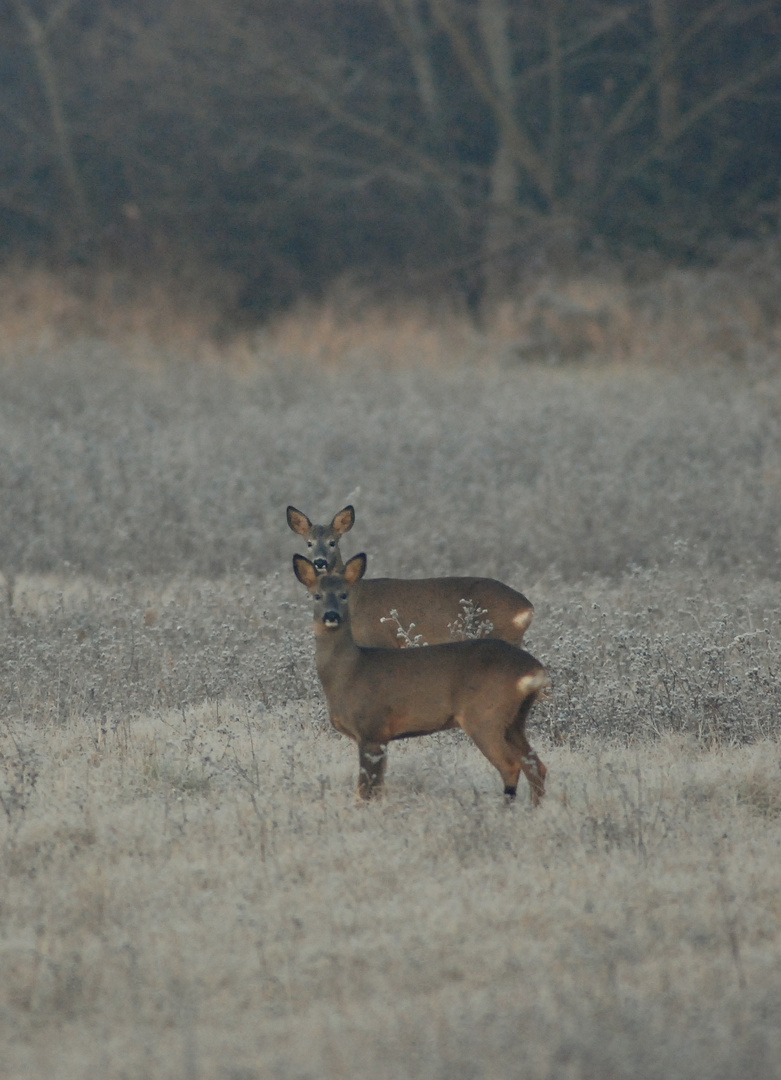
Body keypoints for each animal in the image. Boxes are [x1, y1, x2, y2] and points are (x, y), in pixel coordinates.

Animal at [287, 501, 537, 643]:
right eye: (309, 543)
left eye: (333, 542)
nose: (319, 561)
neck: (356, 595)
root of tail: (528, 607)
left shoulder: (379, 640)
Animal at [293, 557, 550, 803]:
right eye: (317, 595)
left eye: (344, 594)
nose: (331, 616)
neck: (349, 671)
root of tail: (534, 669)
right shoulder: (379, 737)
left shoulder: (372, 729)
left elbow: (366, 791)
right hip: (514, 721)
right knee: (536, 766)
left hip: (485, 716)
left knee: (511, 767)